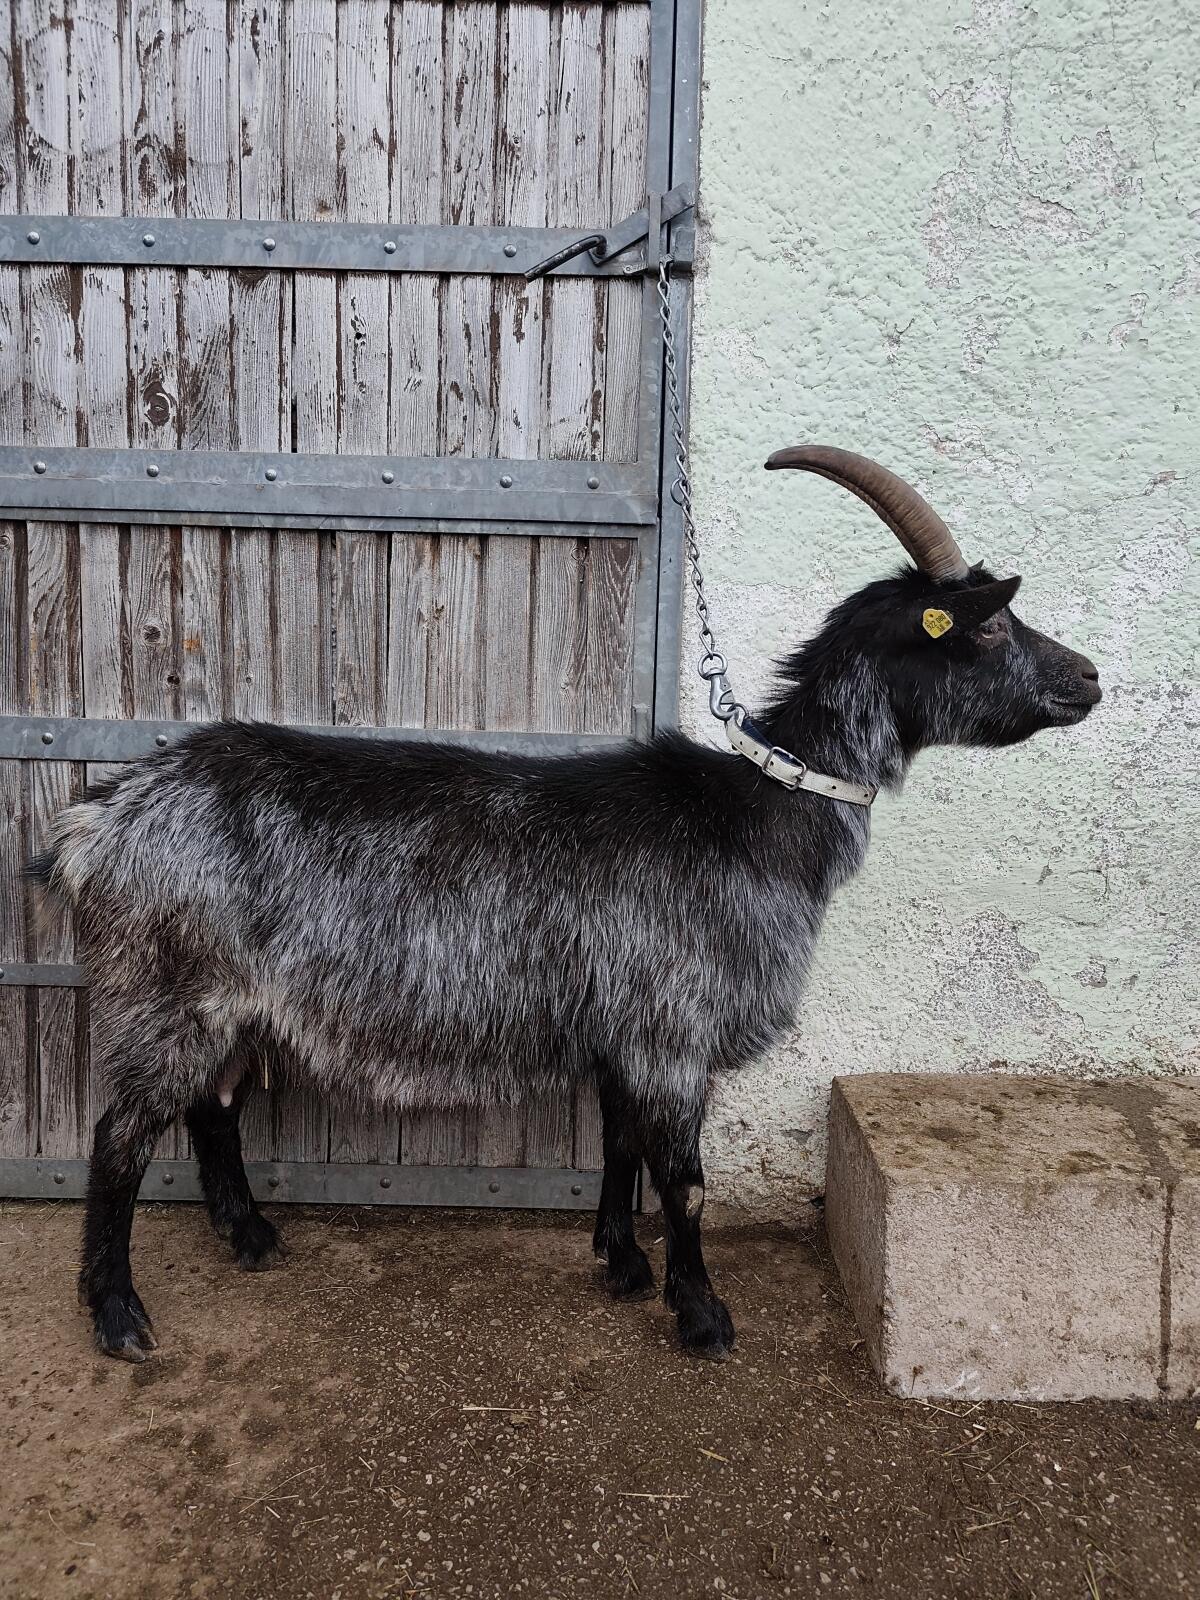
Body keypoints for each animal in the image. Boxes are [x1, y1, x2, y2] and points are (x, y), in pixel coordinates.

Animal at [31, 448, 1102, 1363]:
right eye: (991, 624)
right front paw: (703, 1315)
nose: (1089, 678)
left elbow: (622, 1144)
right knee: (119, 1138)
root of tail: (103, 816)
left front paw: (622, 1264)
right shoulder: (673, 1026)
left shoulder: (627, 1025)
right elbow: (688, 1182)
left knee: (212, 1109)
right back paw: (118, 1314)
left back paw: (250, 1236)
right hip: (169, 988)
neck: (760, 811)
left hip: (230, 1002)